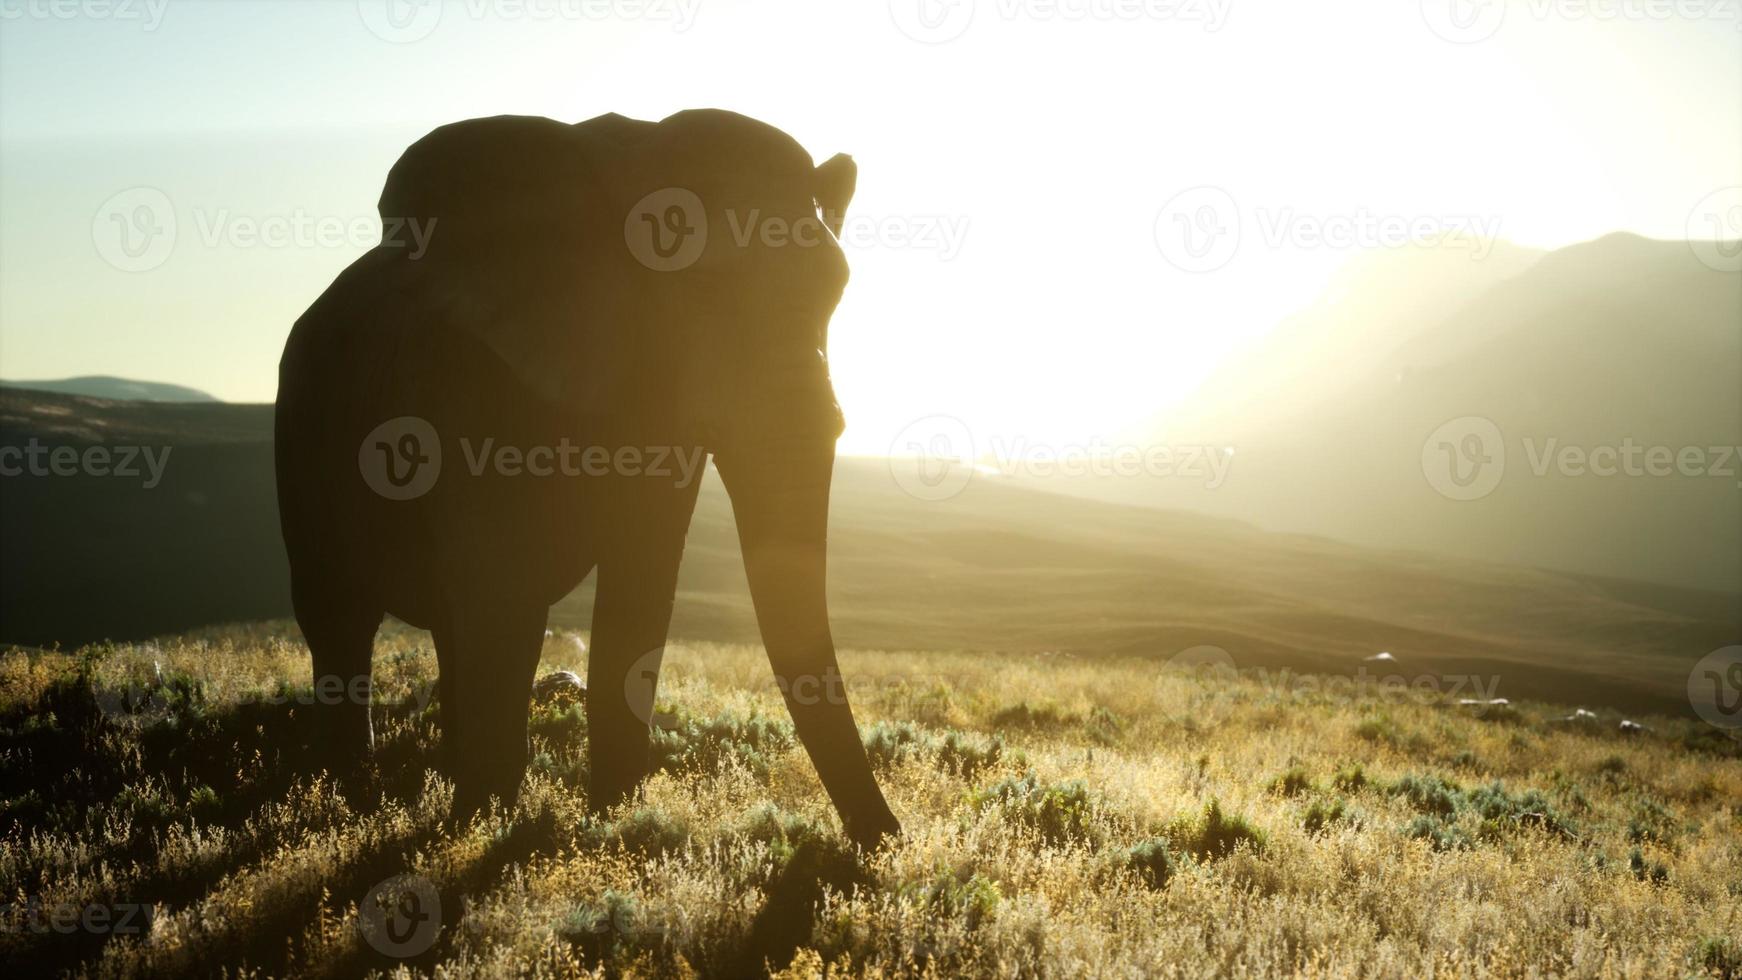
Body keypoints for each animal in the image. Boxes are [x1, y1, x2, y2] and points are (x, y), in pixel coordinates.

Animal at [275, 105, 898, 842]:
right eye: (701, 290)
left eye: (838, 289)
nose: (886, 842)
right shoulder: (472, 382)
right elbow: (505, 592)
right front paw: (489, 832)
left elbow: (642, 580)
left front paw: (611, 824)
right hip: (300, 428)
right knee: (340, 614)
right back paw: (353, 803)